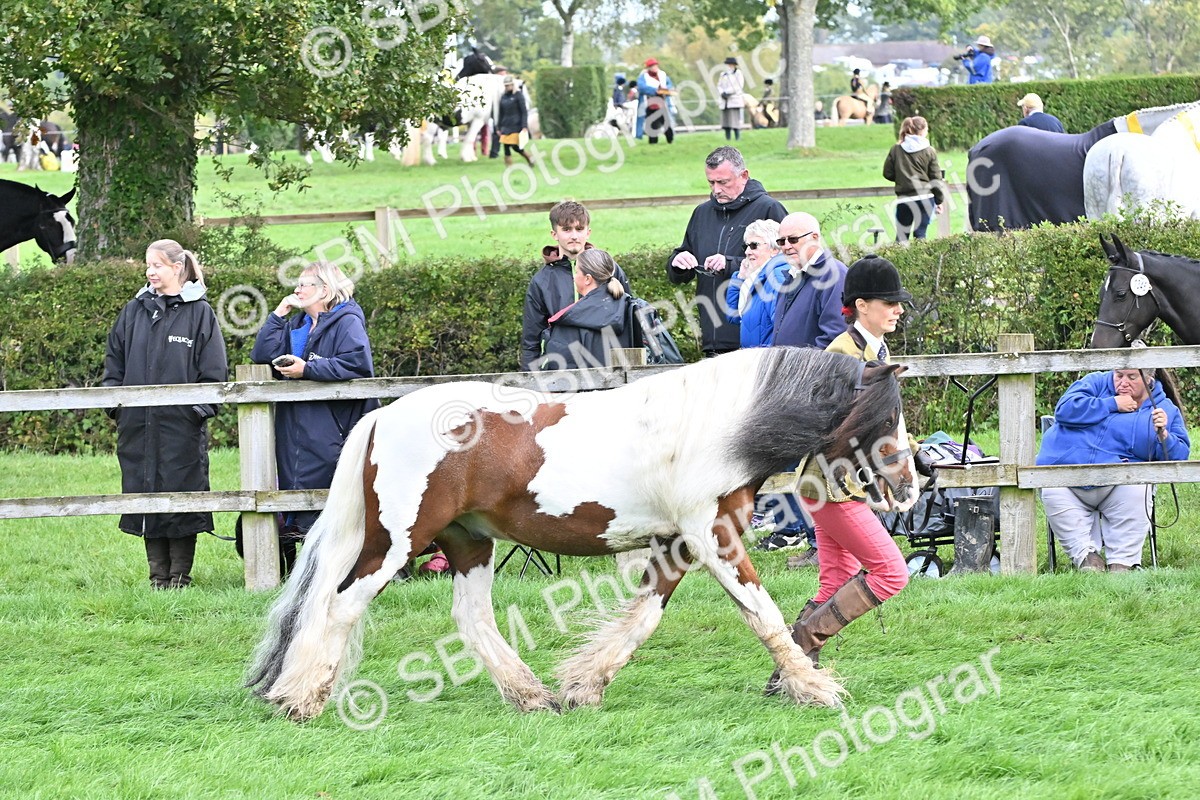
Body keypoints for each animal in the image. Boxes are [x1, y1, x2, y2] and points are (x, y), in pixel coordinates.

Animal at [246, 347, 918, 720]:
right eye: (887, 415)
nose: (911, 486)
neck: (716, 427)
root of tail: (383, 415)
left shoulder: (678, 544)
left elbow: (644, 618)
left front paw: (583, 686)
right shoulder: (714, 535)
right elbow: (763, 614)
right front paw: (815, 689)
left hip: (469, 542)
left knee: (473, 618)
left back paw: (531, 696)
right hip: (398, 543)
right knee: (340, 605)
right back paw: (301, 699)